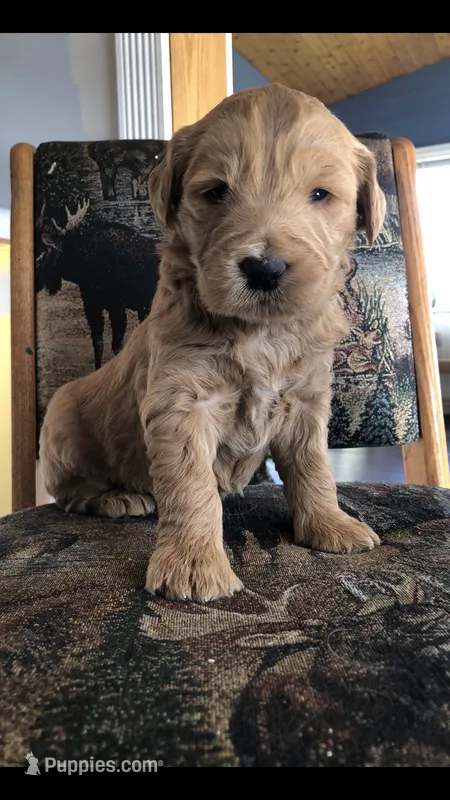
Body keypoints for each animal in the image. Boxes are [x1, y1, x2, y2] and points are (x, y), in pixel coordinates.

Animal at [36, 198, 160, 369]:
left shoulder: (117, 306)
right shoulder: (91, 304)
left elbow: (117, 346)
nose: (39, 281)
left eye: (44, 255)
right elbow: (98, 344)